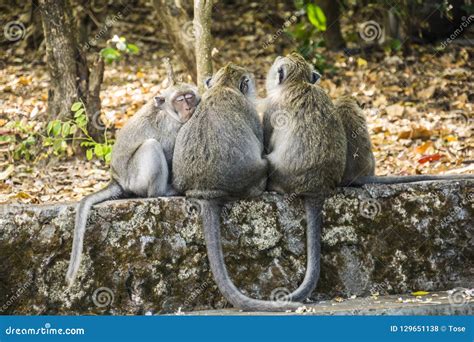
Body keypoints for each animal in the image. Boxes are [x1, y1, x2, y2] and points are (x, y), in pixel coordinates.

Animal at [66, 65, 200, 286]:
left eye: (189, 97)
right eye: (180, 100)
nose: (188, 108)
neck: (167, 112)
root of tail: (116, 178)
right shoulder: (173, 128)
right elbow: (171, 155)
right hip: (135, 178)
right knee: (151, 147)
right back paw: (161, 192)